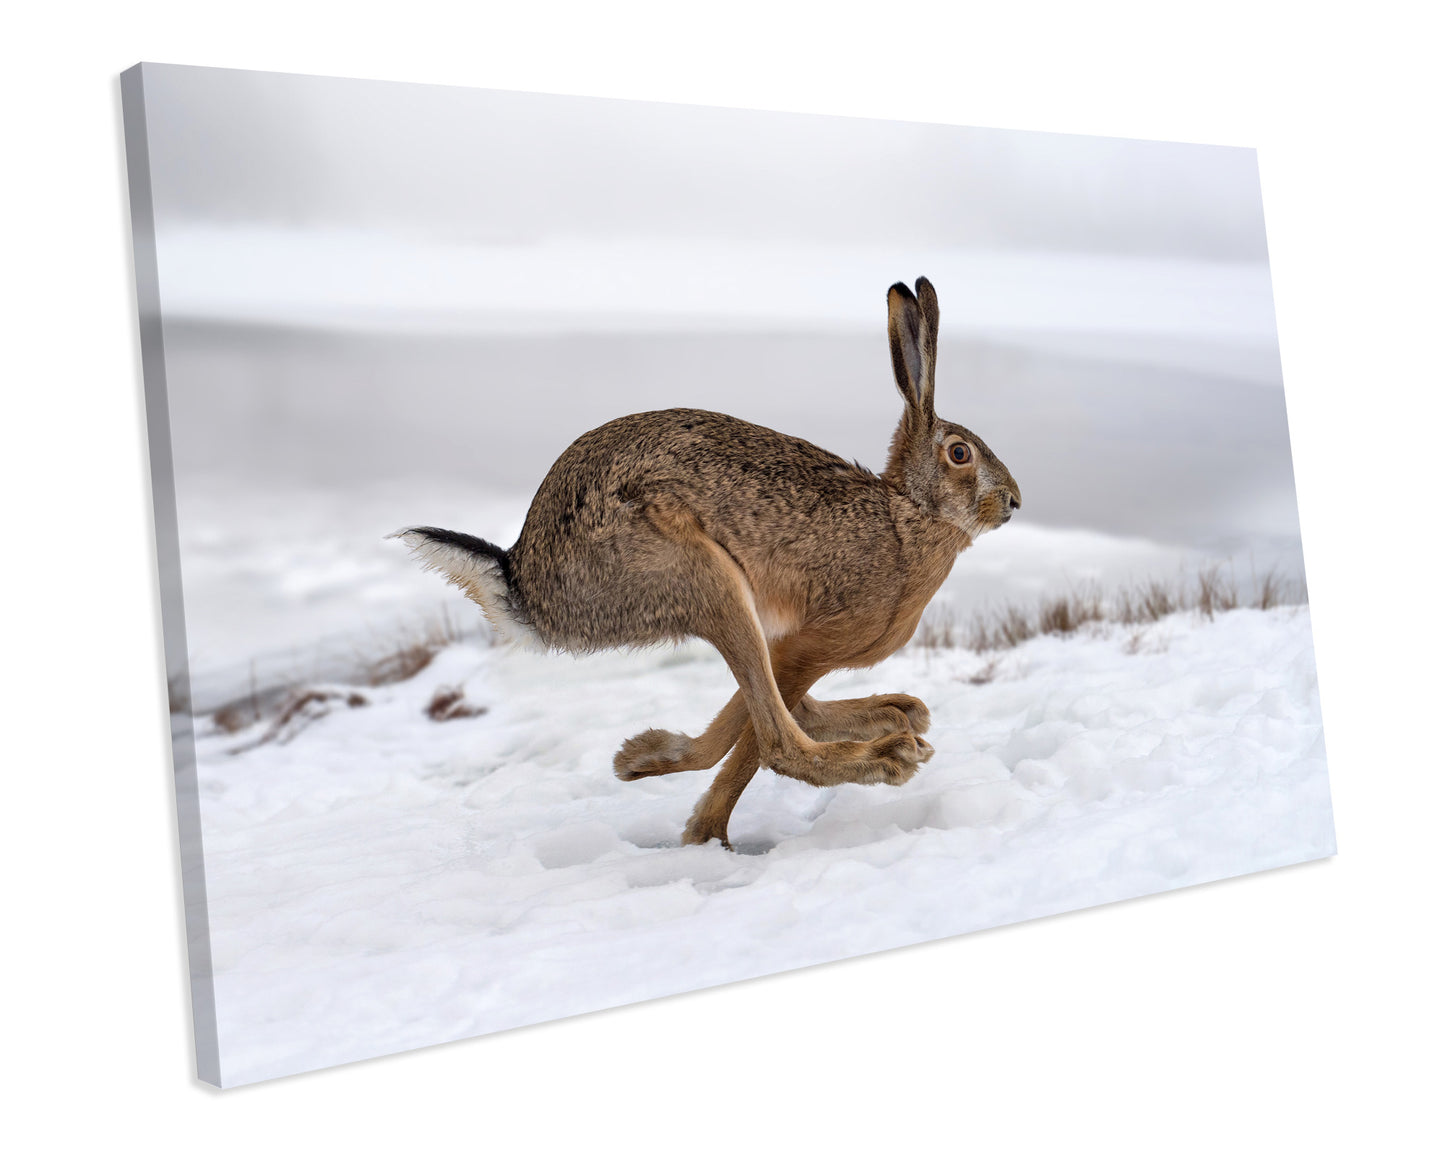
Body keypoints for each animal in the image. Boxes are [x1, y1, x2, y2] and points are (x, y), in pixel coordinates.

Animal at [391, 277, 1021, 848]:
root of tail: (526, 584)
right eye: (959, 453)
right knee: (779, 740)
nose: (1014, 502)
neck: (907, 515)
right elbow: (755, 742)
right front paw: (702, 833)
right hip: (702, 575)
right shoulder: (810, 644)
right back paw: (885, 753)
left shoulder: (789, 645)